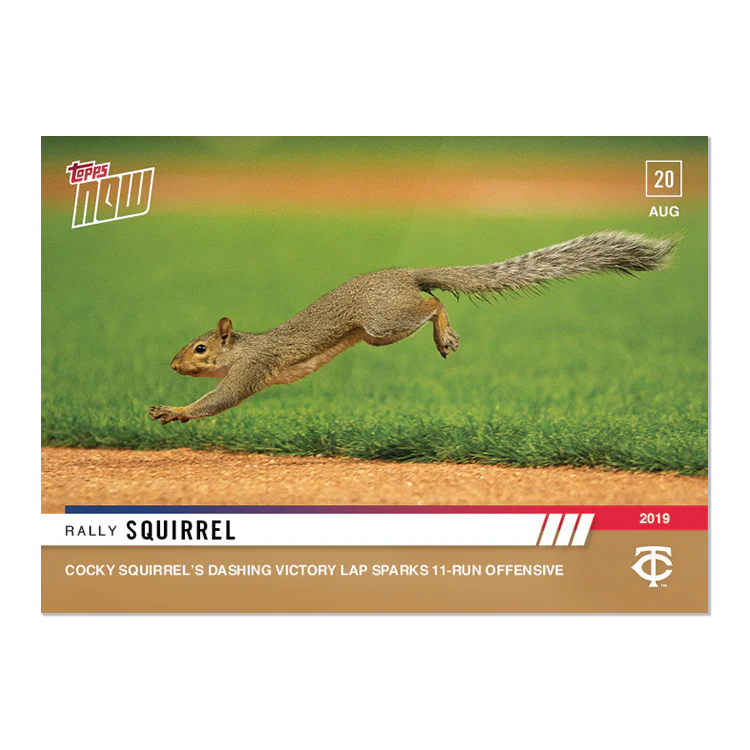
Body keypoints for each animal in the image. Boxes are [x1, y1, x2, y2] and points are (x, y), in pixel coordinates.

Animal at [150, 231, 676, 424]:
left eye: (200, 348)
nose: (172, 364)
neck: (239, 349)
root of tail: (404, 272)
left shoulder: (253, 367)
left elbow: (221, 399)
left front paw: (175, 411)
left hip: (380, 323)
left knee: (433, 301)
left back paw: (444, 331)